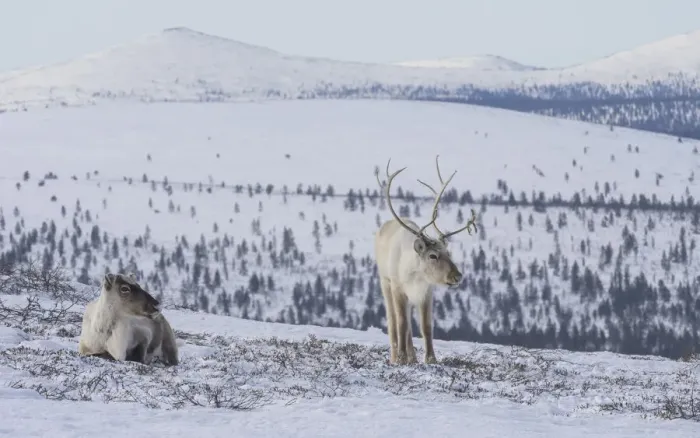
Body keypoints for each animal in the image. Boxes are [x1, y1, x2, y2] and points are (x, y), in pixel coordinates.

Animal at [374, 155, 477, 365]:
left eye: (448, 252)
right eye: (433, 255)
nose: (457, 276)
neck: (416, 274)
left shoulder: (426, 292)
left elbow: (426, 326)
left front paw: (430, 359)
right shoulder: (398, 288)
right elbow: (401, 323)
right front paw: (401, 358)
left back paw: (412, 356)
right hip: (384, 282)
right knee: (393, 320)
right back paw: (396, 355)